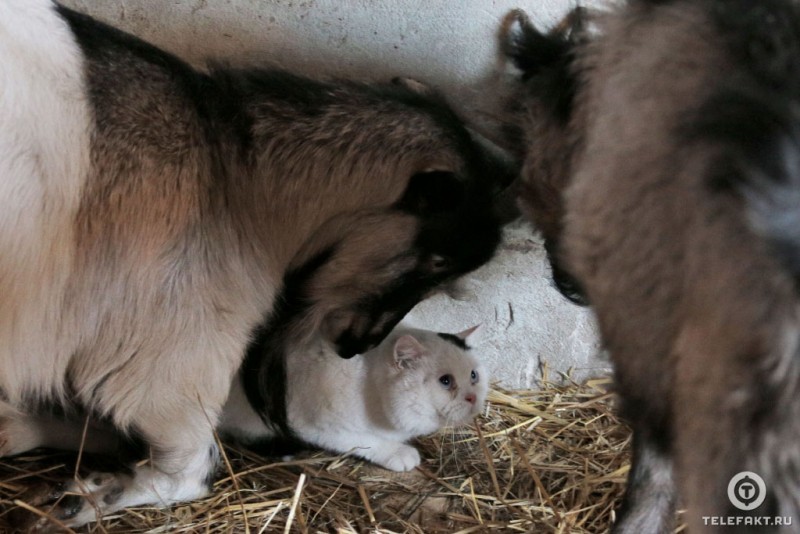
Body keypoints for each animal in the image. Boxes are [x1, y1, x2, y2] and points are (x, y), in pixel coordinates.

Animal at [217, 326, 488, 474]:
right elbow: (367, 441)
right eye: (445, 381)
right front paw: (398, 452)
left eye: (473, 376)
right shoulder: (317, 427)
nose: (473, 397)